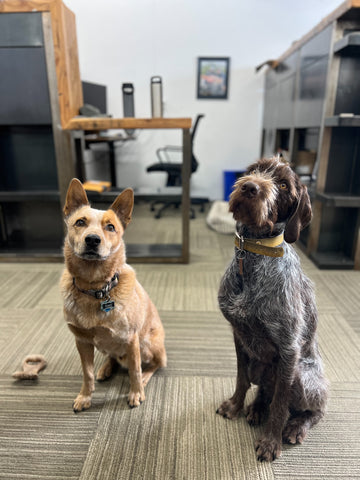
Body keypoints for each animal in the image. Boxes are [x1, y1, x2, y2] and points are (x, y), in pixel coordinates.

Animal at [59, 180, 167, 412]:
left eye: (110, 227)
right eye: (80, 222)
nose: (92, 240)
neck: (95, 288)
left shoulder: (131, 338)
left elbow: (134, 370)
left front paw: (136, 393)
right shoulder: (82, 340)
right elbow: (87, 373)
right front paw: (85, 397)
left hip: (147, 344)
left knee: (154, 364)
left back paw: (144, 378)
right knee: (112, 357)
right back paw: (106, 368)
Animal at [217, 157, 330, 462]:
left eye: (283, 185)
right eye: (253, 170)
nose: (250, 187)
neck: (254, 254)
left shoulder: (289, 350)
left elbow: (280, 404)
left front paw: (270, 441)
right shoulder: (238, 335)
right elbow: (241, 378)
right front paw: (235, 406)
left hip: (302, 376)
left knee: (314, 410)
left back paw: (295, 426)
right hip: (261, 364)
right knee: (264, 390)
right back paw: (256, 408)